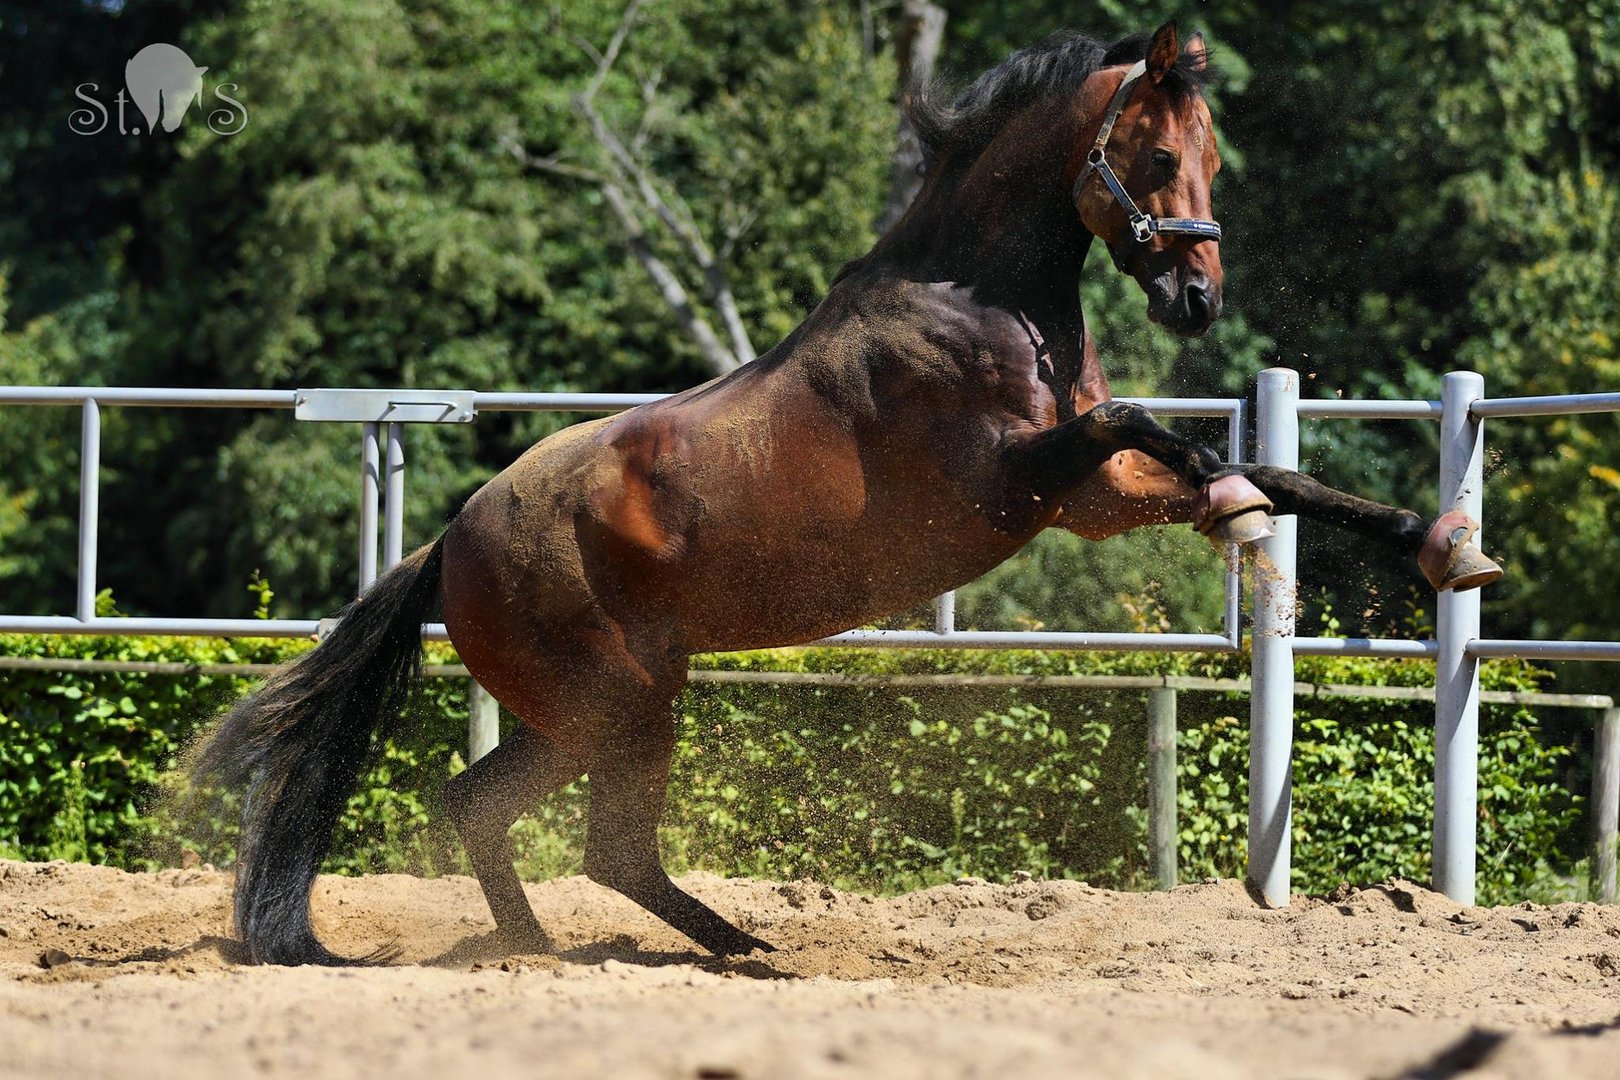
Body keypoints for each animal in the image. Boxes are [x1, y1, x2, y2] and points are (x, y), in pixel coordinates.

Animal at [199, 25, 1503, 965]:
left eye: (1214, 157)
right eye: (1150, 156)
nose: (1197, 299)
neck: (980, 300)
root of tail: (446, 544)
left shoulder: (1087, 494)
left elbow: (1267, 467)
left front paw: (1440, 546)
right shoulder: (1010, 483)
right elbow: (1148, 425)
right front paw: (1236, 507)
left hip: (583, 711)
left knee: (483, 808)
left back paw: (557, 953)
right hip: (622, 706)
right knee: (605, 848)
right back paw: (717, 950)